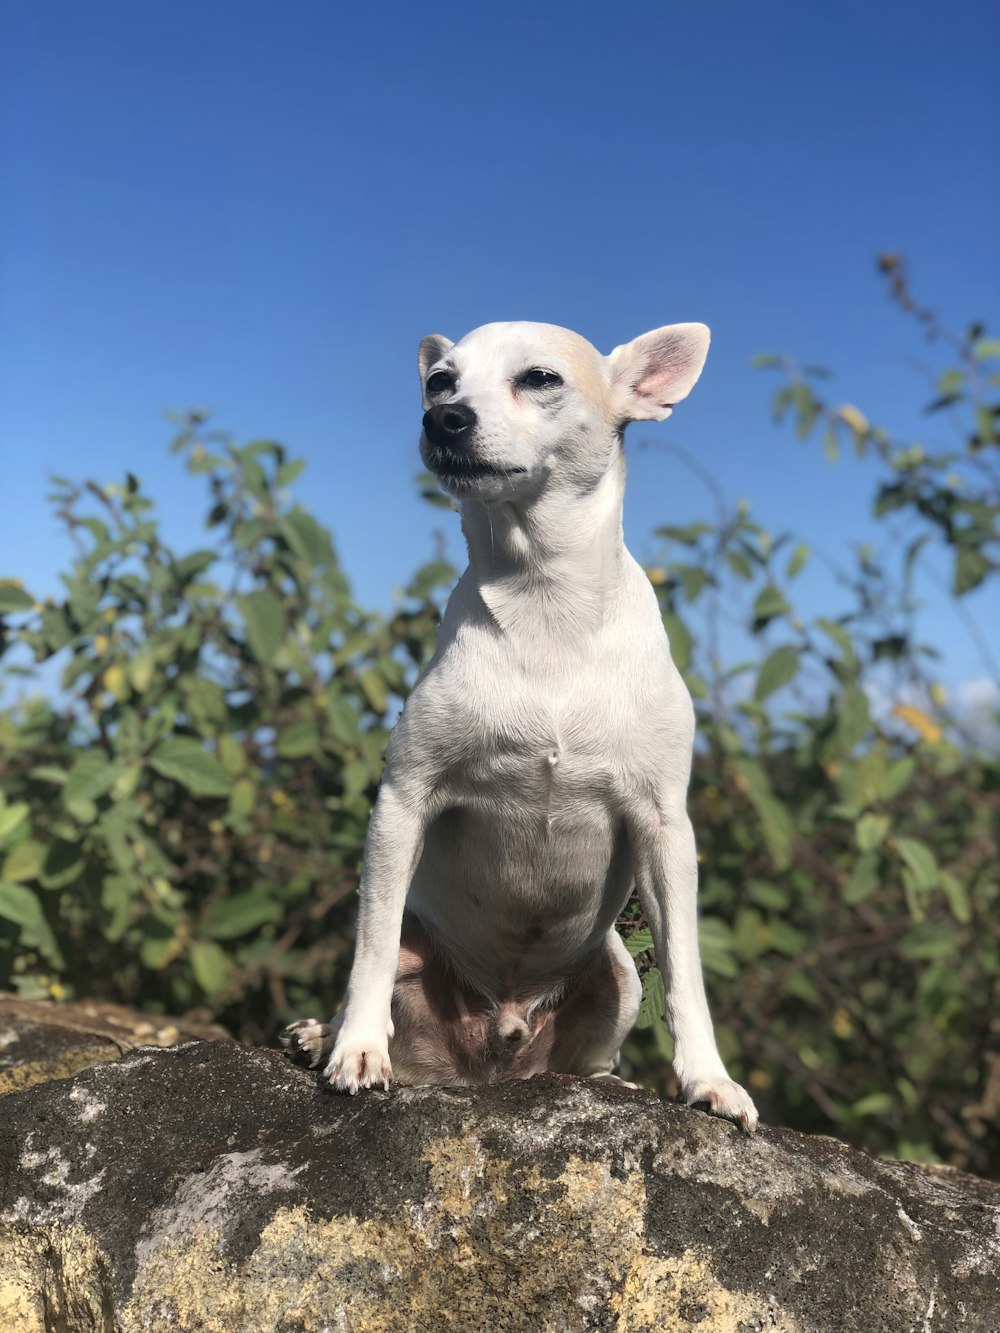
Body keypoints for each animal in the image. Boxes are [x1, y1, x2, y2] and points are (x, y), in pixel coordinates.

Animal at [282, 317, 757, 1130]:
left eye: (539, 378)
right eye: (440, 380)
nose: (443, 417)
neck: (545, 596)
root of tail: (496, 1049)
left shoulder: (666, 827)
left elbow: (687, 971)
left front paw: (709, 1079)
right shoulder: (402, 800)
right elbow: (370, 945)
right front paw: (357, 1050)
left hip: (619, 974)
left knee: (597, 1050)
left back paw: (614, 1083)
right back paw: (325, 1035)